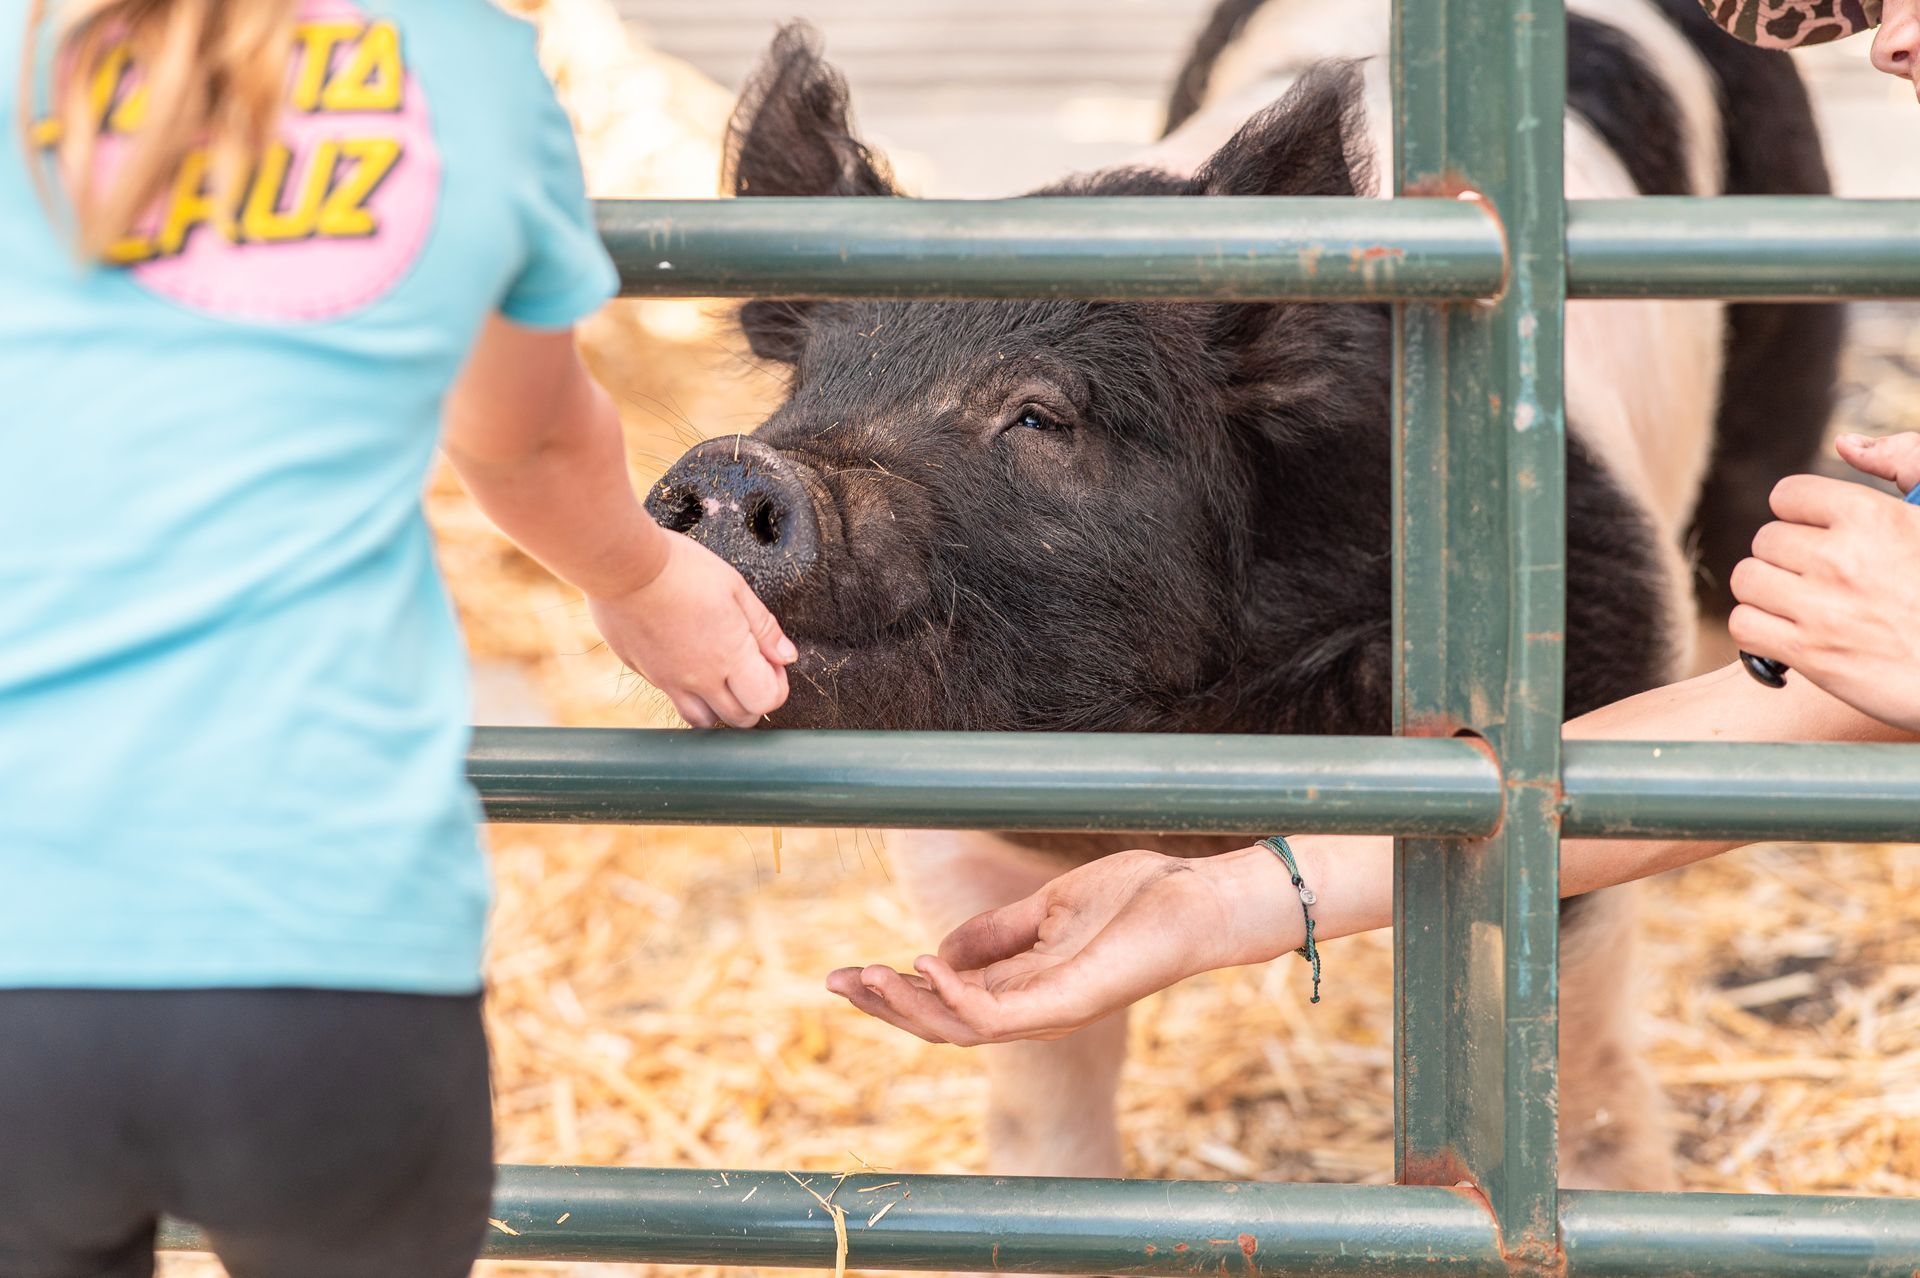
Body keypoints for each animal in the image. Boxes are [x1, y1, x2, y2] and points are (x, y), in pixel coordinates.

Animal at [646, 0, 1840, 1192]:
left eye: (1040, 414)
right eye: (811, 389)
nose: (740, 466)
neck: (1189, 735)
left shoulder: (1579, 672)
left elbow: (1574, 1045)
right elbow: (1041, 1074)